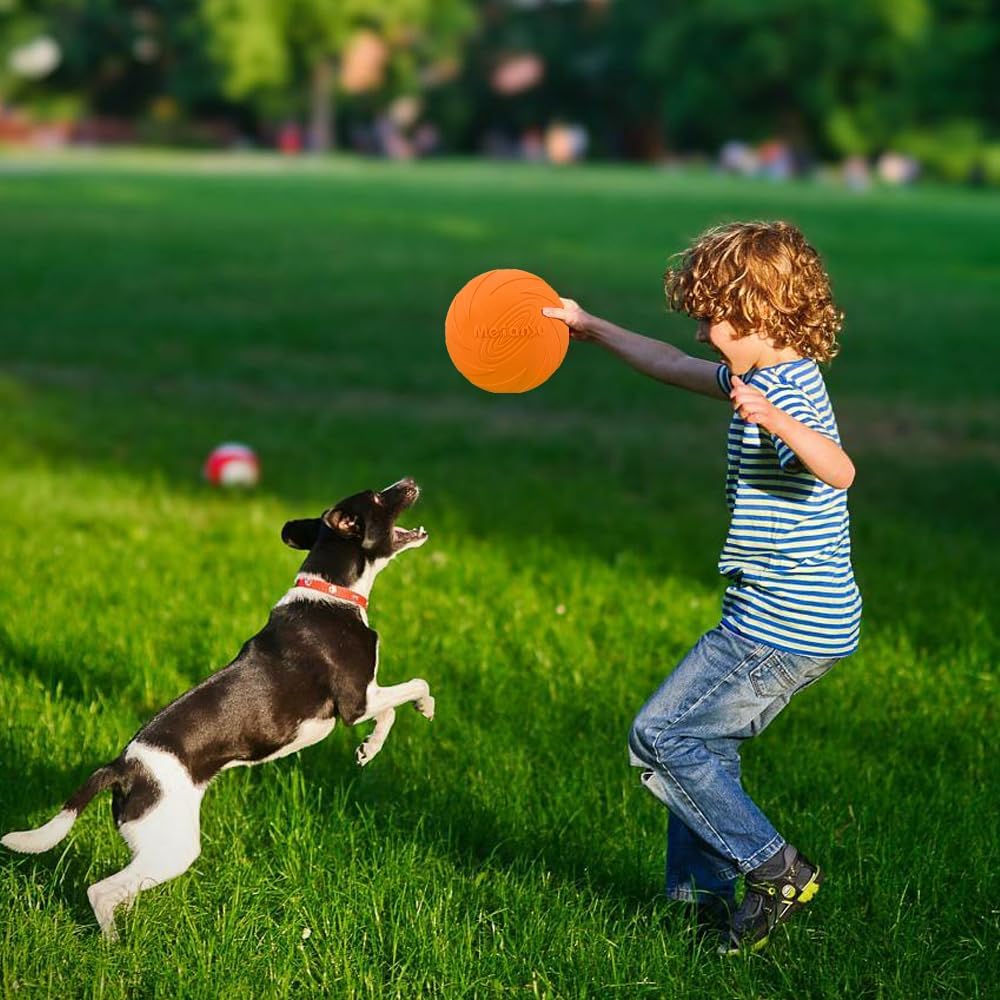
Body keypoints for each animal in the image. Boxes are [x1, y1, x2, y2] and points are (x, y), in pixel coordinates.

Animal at [2, 476, 434, 936]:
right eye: (378, 497)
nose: (409, 482)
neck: (330, 592)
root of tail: (122, 767)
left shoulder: (364, 698)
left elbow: (389, 711)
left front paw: (369, 749)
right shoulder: (355, 700)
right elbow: (412, 687)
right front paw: (425, 708)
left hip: (153, 845)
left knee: (123, 889)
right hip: (174, 847)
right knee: (101, 891)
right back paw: (114, 945)